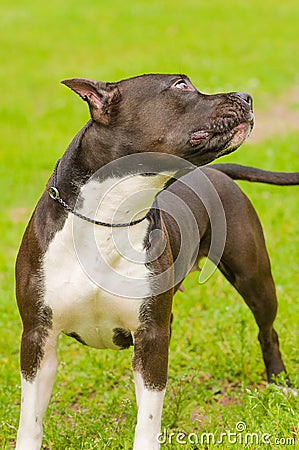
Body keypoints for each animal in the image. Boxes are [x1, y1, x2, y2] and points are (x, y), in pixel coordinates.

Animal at [14, 72, 298, 448]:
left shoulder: (150, 336)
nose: (246, 96)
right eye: (180, 86)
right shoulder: (38, 337)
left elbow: (148, 418)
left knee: (268, 332)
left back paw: (281, 385)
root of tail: (216, 172)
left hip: (255, 279)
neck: (110, 217)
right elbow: (30, 418)